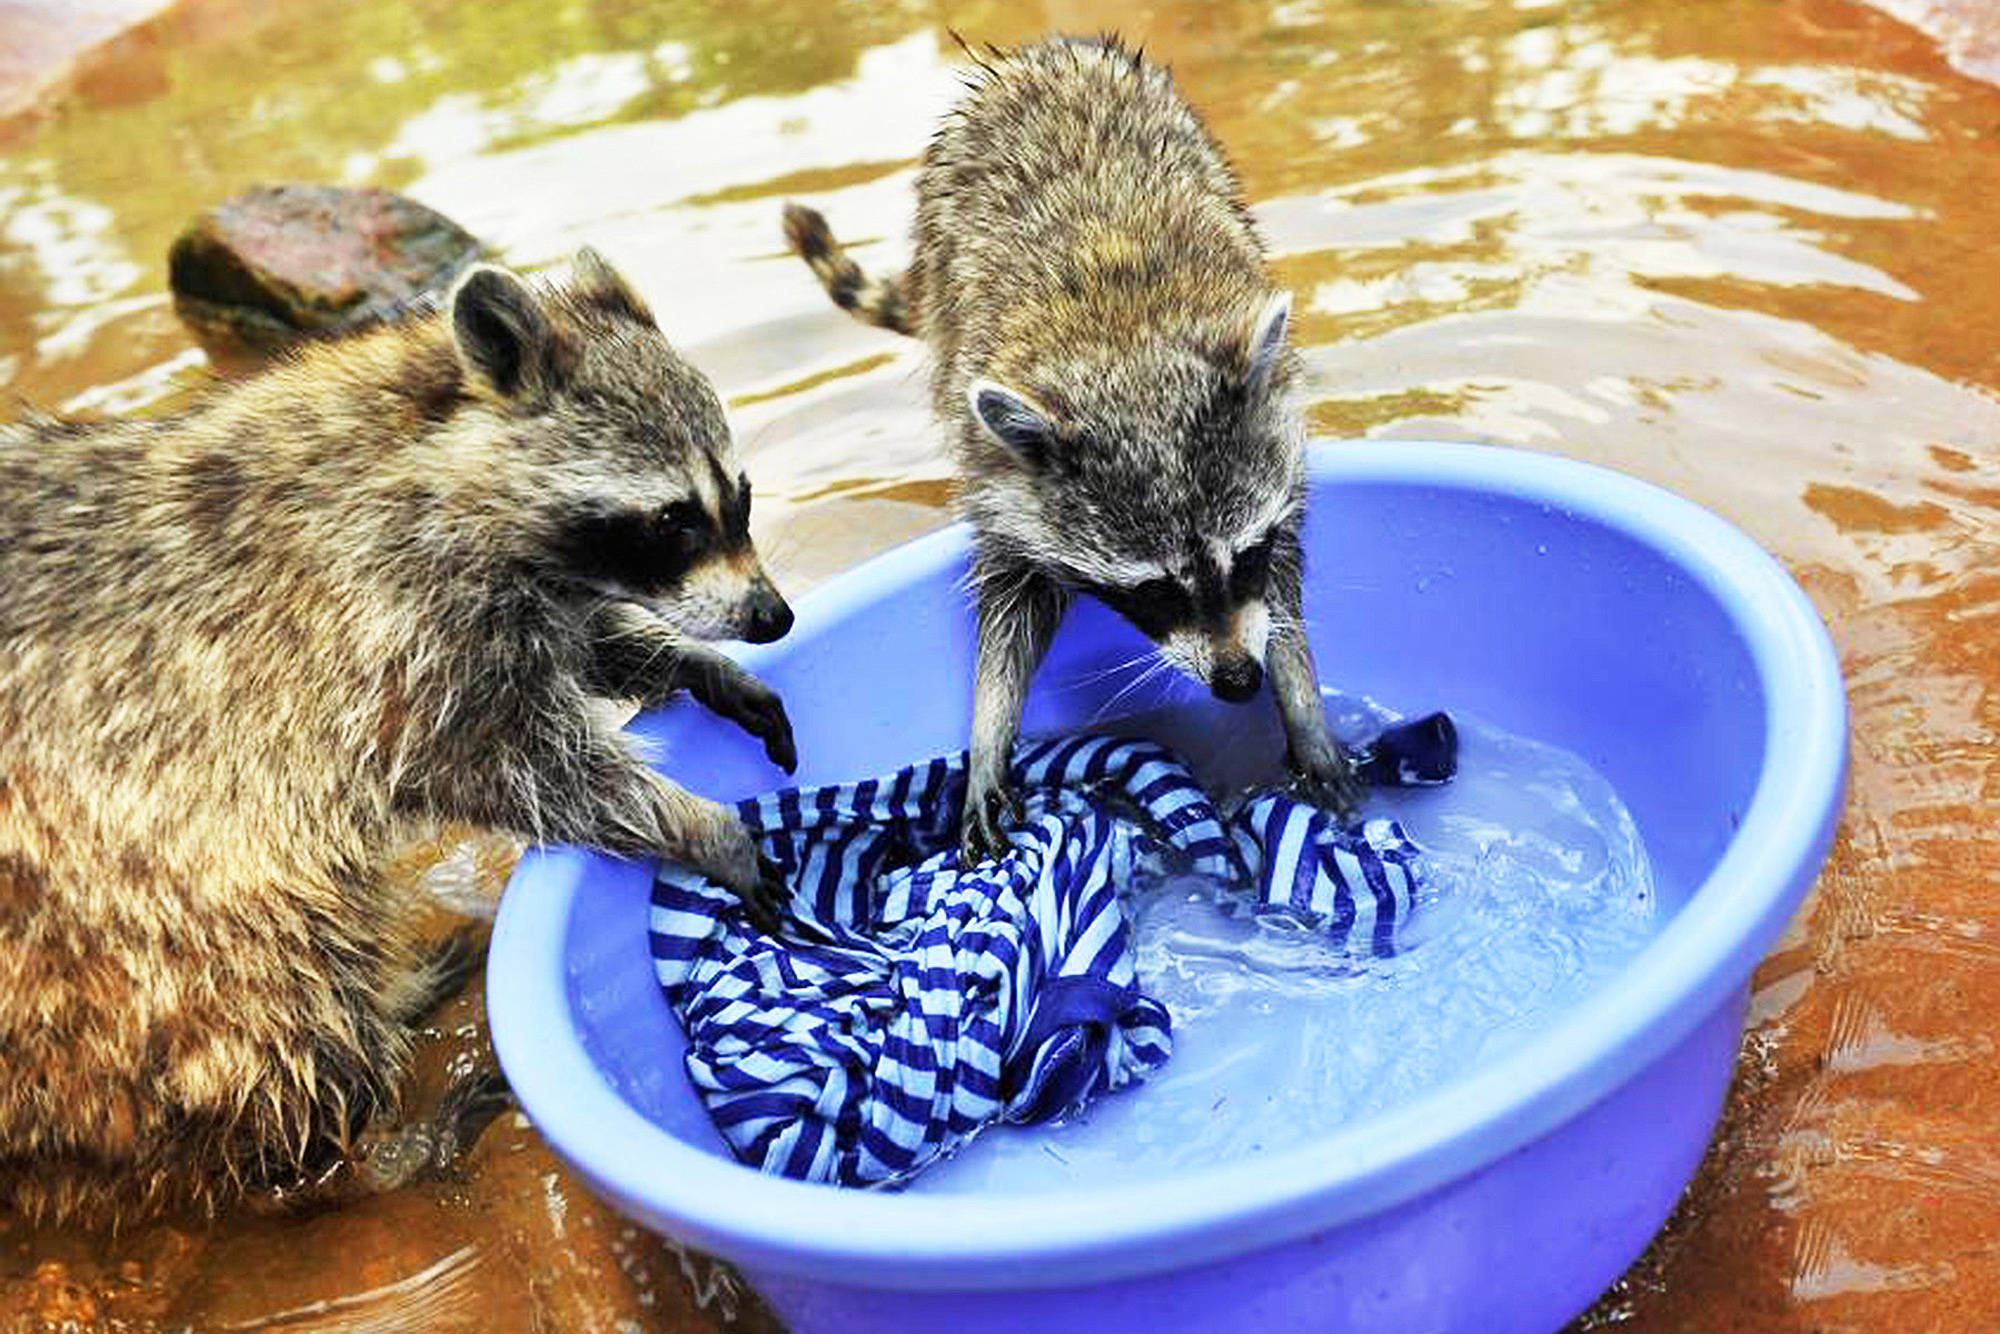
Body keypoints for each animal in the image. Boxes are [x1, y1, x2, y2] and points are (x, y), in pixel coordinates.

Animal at [0, 248, 796, 1224]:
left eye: (742, 496)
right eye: (674, 519)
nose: (772, 615)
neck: (425, 456)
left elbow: (571, 647)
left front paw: (681, 660)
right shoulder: (373, 628)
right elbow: (514, 765)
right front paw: (695, 819)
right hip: (120, 916)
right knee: (278, 1007)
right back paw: (362, 1156)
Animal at [788, 36, 1368, 868]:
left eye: (1242, 557)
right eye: (1155, 591)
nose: (1236, 682)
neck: (1124, 352)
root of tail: (1038, 56)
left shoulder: (1277, 449)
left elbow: (1283, 592)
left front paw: (1300, 698)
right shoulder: (999, 472)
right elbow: (1007, 616)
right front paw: (990, 727)